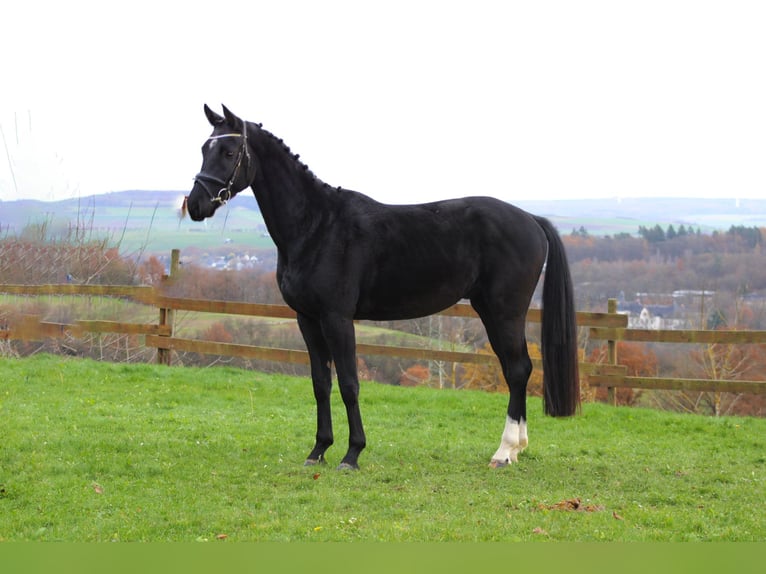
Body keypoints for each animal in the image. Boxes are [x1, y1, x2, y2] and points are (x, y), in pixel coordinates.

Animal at [188, 106, 584, 470]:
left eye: (229, 152)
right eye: (204, 148)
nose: (195, 204)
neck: (317, 225)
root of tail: (531, 219)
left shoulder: (337, 318)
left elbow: (349, 384)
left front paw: (352, 454)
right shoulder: (307, 319)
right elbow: (320, 383)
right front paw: (318, 450)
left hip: (504, 313)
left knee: (517, 370)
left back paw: (505, 451)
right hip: (492, 311)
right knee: (517, 370)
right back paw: (516, 449)